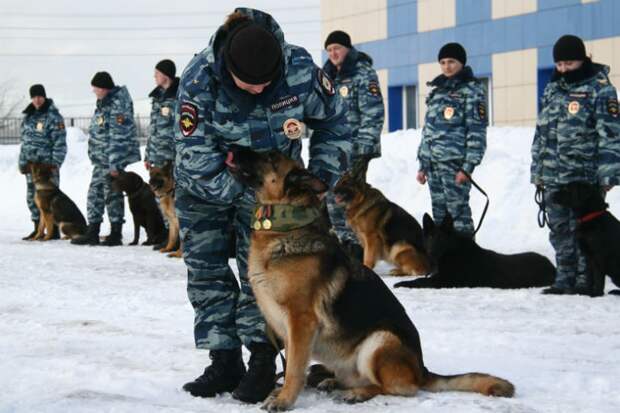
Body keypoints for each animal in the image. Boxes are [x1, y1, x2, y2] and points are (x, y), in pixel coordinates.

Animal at [394, 214, 556, 288]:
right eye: (430, 238)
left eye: (441, 239)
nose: (431, 252)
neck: (453, 253)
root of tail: (552, 267)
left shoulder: (445, 280)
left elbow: (420, 281)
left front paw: (402, 283)